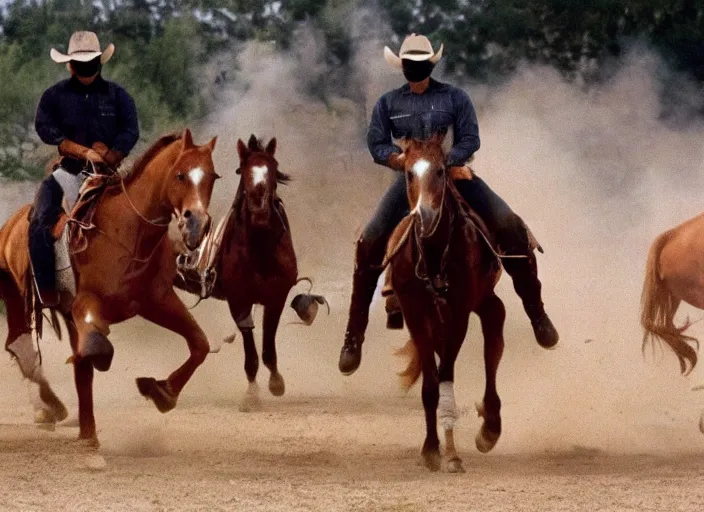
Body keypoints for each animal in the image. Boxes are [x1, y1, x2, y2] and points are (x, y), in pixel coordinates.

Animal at [0, 129, 219, 448]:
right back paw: (51, 409)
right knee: (23, 349)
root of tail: (10, 226)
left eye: (213, 176)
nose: (196, 226)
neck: (129, 233)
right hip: (16, 296)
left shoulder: (158, 301)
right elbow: (96, 349)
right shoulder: (87, 303)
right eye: (180, 175)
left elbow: (199, 344)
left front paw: (161, 391)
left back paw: (82, 427)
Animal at [176, 135, 302, 408]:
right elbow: (250, 346)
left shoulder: (276, 298)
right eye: (243, 171)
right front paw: (252, 394)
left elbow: (268, 343)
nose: (260, 213)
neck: (260, 249)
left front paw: (276, 382)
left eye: (273, 168)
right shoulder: (239, 300)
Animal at [384, 134, 506, 474]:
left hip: (481, 300)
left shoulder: (459, 313)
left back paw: (490, 427)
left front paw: (451, 454)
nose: (424, 214)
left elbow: (446, 377)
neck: (435, 253)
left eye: (440, 171)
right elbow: (430, 385)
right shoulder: (416, 314)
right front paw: (430, 449)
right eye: (409, 173)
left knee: (493, 338)